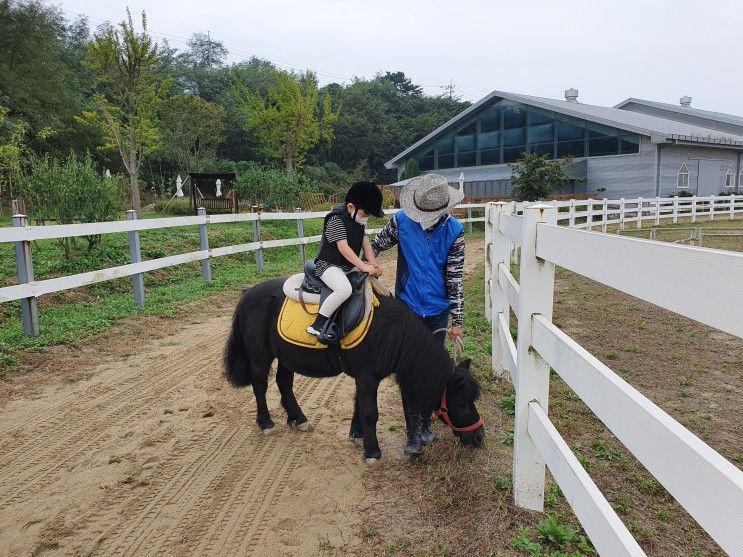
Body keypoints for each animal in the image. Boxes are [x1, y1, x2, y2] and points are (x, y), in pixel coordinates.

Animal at [224, 278, 486, 460]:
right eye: (461, 403)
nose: (479, 436)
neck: (391, 333)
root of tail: (248, 294)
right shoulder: (367, 376)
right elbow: (370, 412)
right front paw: (372, 451)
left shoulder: (367, 377)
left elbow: (359, 404)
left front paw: (357, 433)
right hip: (260, 356)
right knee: (260, 385)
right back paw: (266, 422)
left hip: (286, 356)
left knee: (284, 383)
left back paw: (298, 418)